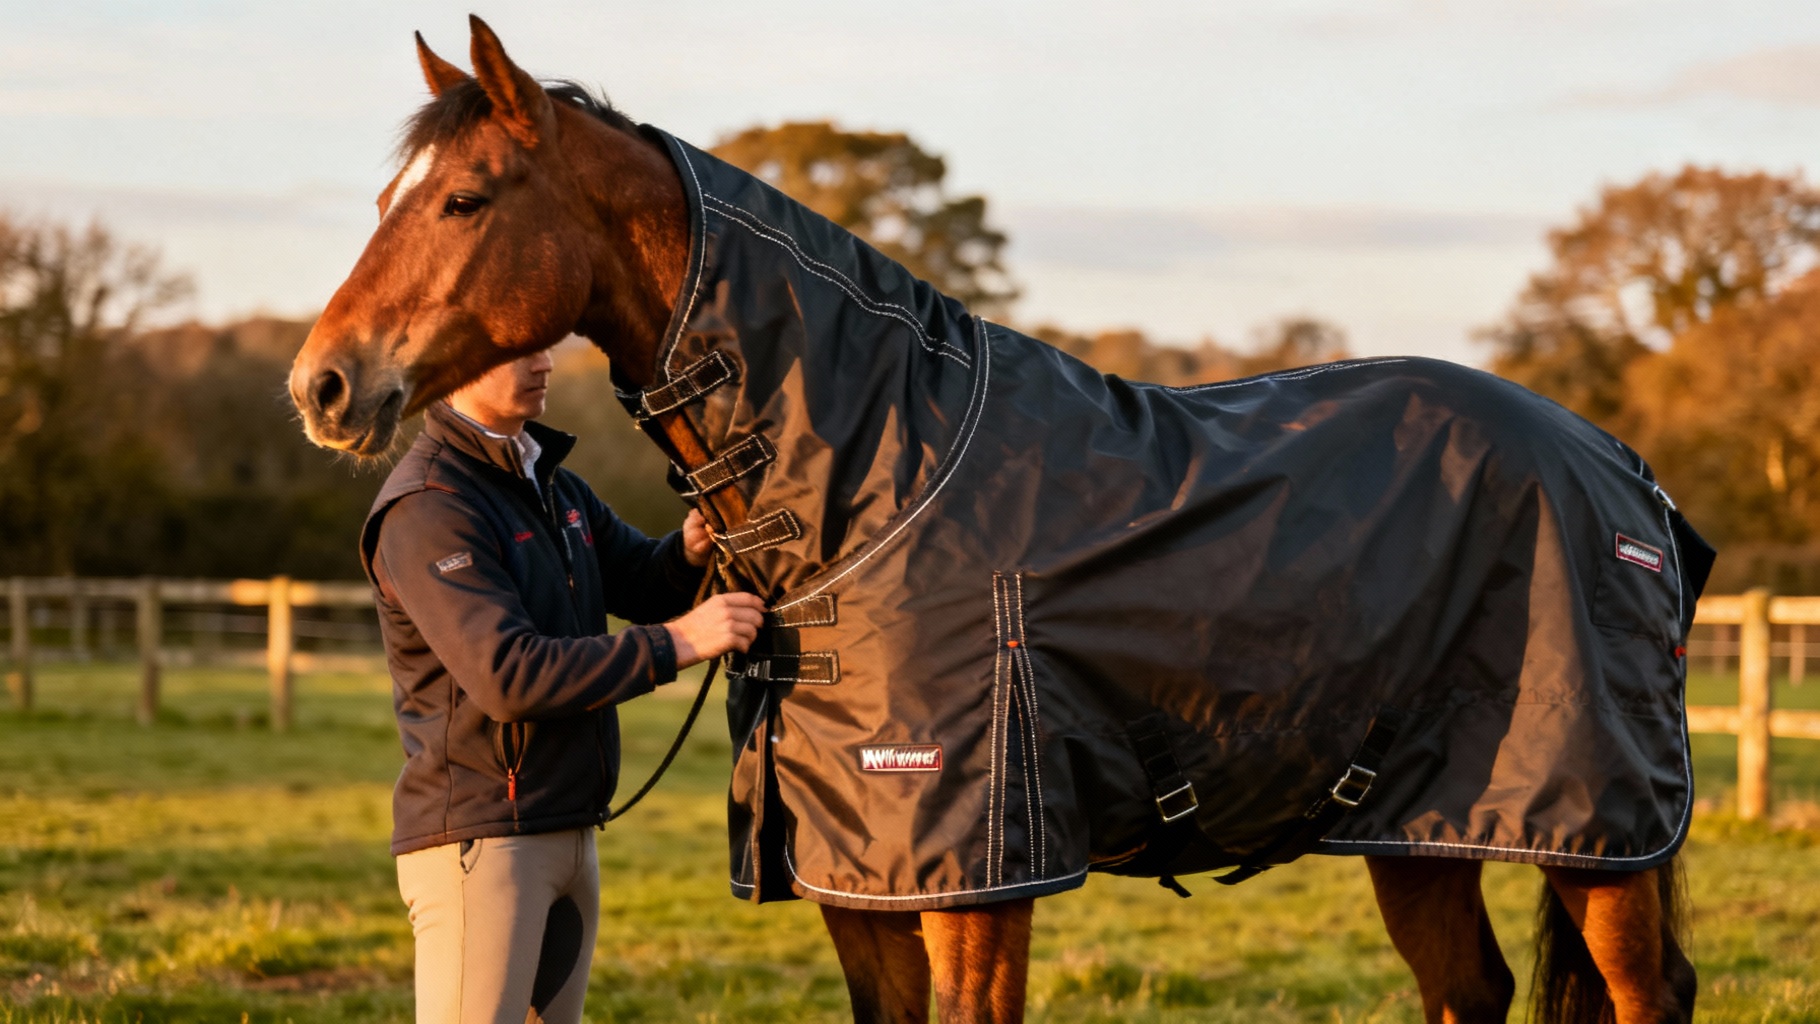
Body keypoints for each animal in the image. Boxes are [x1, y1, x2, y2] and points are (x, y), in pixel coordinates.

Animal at [289, 18, 1705, 1023]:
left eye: (466, 198)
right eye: (384, 201)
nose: (322, 384)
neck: (879, 478)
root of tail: (1622, 472)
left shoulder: (976, 880)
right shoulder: (859, 881)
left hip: (1599, 837)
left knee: (1642, 993)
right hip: (1413, 824)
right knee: (1468, 990)